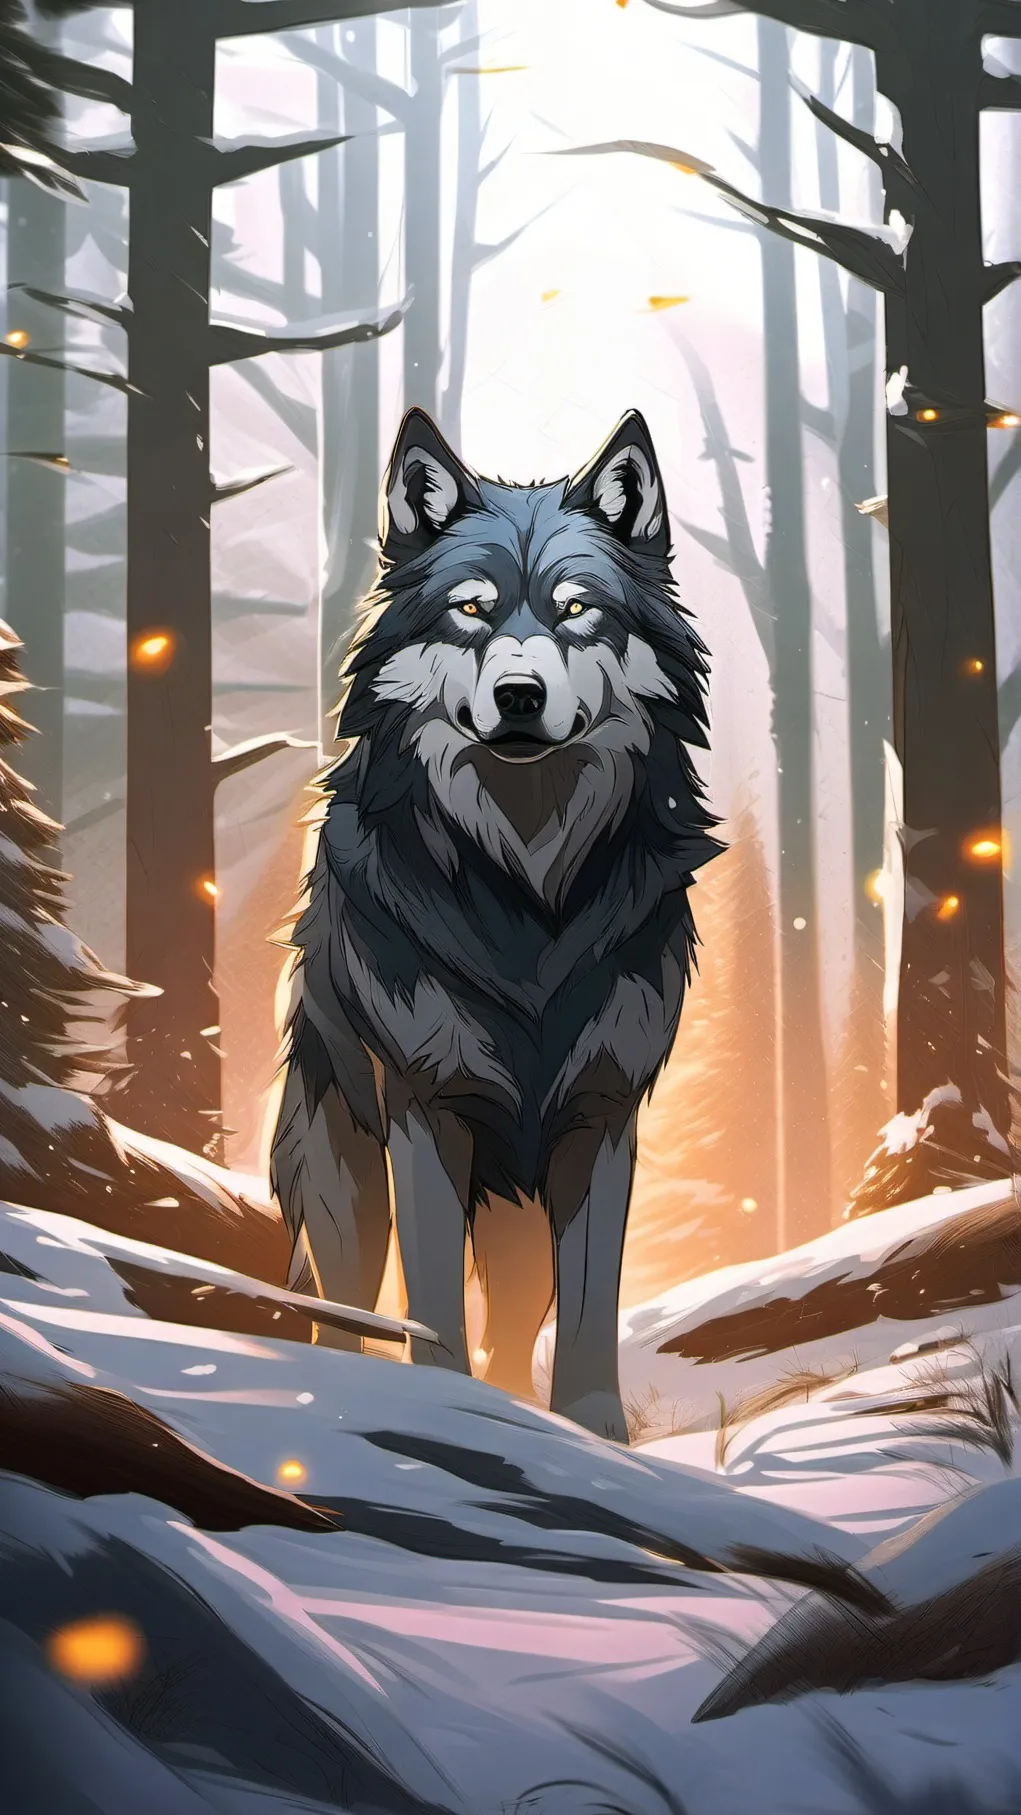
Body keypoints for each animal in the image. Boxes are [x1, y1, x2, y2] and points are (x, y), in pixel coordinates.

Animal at [270, 406, 719, 1442]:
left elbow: (591, 1304)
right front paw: (442, 1409)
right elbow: (431, 1299)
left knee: (514, 1320)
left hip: (515, 1204)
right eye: (472, 611)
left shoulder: (601, 1115)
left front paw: (593, 1435)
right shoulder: (424, 1106)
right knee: (341, 1304)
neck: (525, 890)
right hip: (343, 1170)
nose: (519, 694)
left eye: (576, 610)